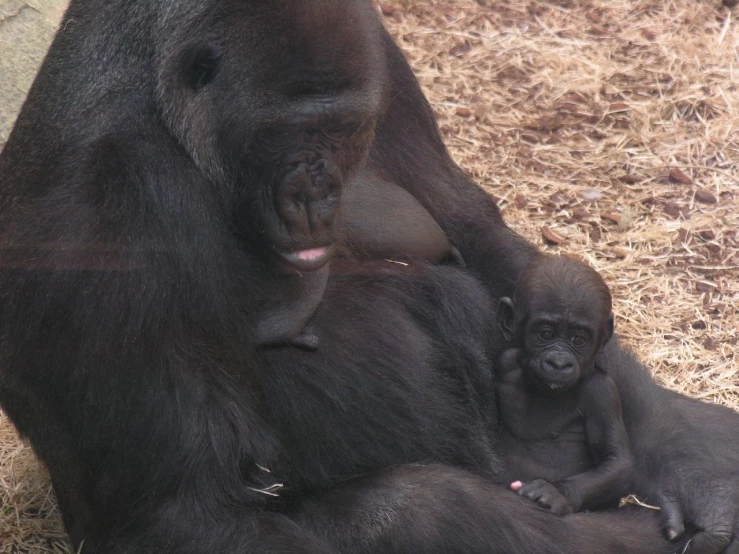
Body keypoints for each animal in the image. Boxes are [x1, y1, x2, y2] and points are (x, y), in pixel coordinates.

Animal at [494, 254, 632, 512]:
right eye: (546, 334)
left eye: (578, 340)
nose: (559, 363)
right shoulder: (505, 361)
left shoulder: (602, 392)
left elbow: (617, 461)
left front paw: (555, 493)